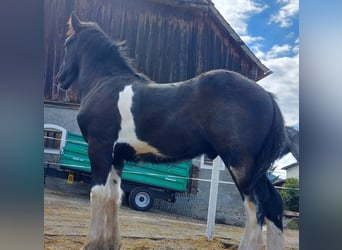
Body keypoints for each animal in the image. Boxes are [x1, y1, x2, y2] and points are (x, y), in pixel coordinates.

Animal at [57, 13, 288, 250]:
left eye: (67, 43)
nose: (60, 78)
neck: (105, 83)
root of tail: (267, 96)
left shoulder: (99, 147)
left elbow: (98, 193)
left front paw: (91, 243)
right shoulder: (117, 155)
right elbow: (114, 195)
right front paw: (111, 243)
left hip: (241, 164)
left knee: (255, 209)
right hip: (256, 168)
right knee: (273, 204)